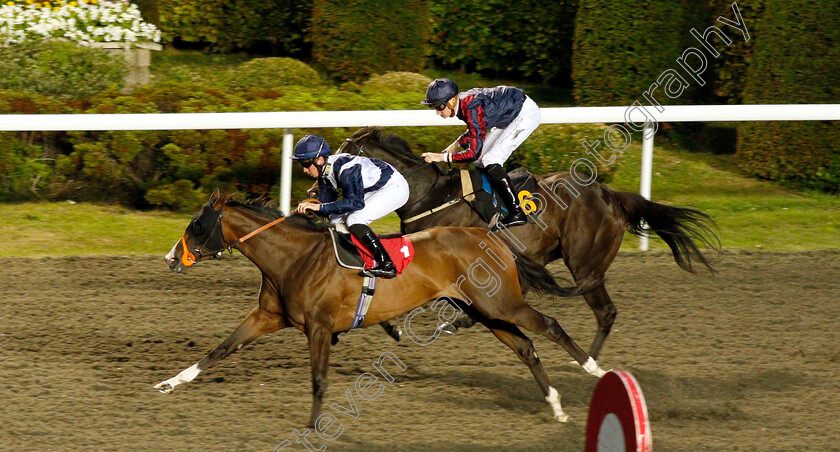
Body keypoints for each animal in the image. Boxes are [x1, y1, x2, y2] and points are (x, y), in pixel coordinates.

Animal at [154, 192, 608, 426]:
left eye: (197, 226)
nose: (171, 258)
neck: (294, 257)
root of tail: (494, 239)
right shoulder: (269, 317)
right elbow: (220, 349)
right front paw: (171, 383)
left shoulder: (319, 328)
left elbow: (319, 380)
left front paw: (313, 426)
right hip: (484, 310)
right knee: (526, 347)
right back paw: (555, 404)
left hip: (502, 302)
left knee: (550, 325)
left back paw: (596, 371)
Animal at [324, 127, 720, 360]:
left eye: (344, 152)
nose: (319, 184)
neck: (431, 194)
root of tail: (610, 195)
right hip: (544, 256)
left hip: (585, 263)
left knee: (605, 312)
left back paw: (588, 361)